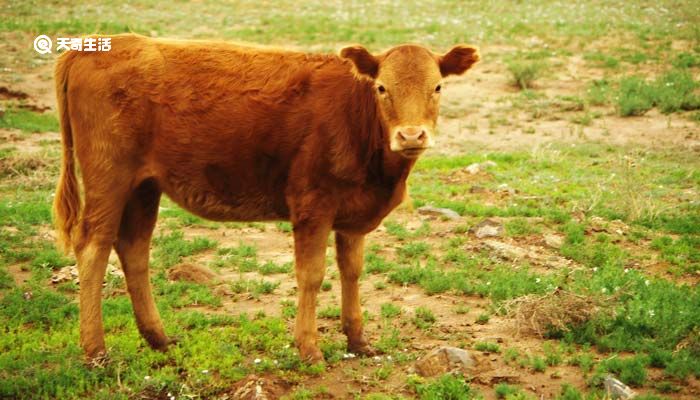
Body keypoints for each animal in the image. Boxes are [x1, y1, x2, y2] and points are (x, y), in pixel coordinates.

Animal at [54, 34, 478, 362]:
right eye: (382, 88)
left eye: (437, 87)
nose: (411, 135)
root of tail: (95, 46)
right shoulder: (312, 205)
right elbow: (311, 275)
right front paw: (309, 348)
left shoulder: (353, 215)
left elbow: (353, 271)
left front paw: (358, 341)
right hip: (108, 177)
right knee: (94, 247)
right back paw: (95, 351)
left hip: (144, 186)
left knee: (134, 248)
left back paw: (159, 339)